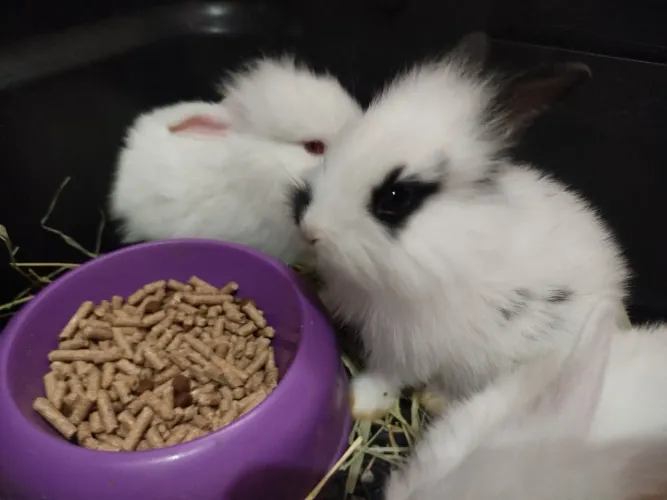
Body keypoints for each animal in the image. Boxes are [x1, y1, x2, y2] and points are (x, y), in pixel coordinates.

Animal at [291, 31, 630, 419]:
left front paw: (359, 401)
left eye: (396, 197)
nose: (310, 228)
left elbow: (388, 374)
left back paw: (434, 398)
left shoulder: (408, 345)